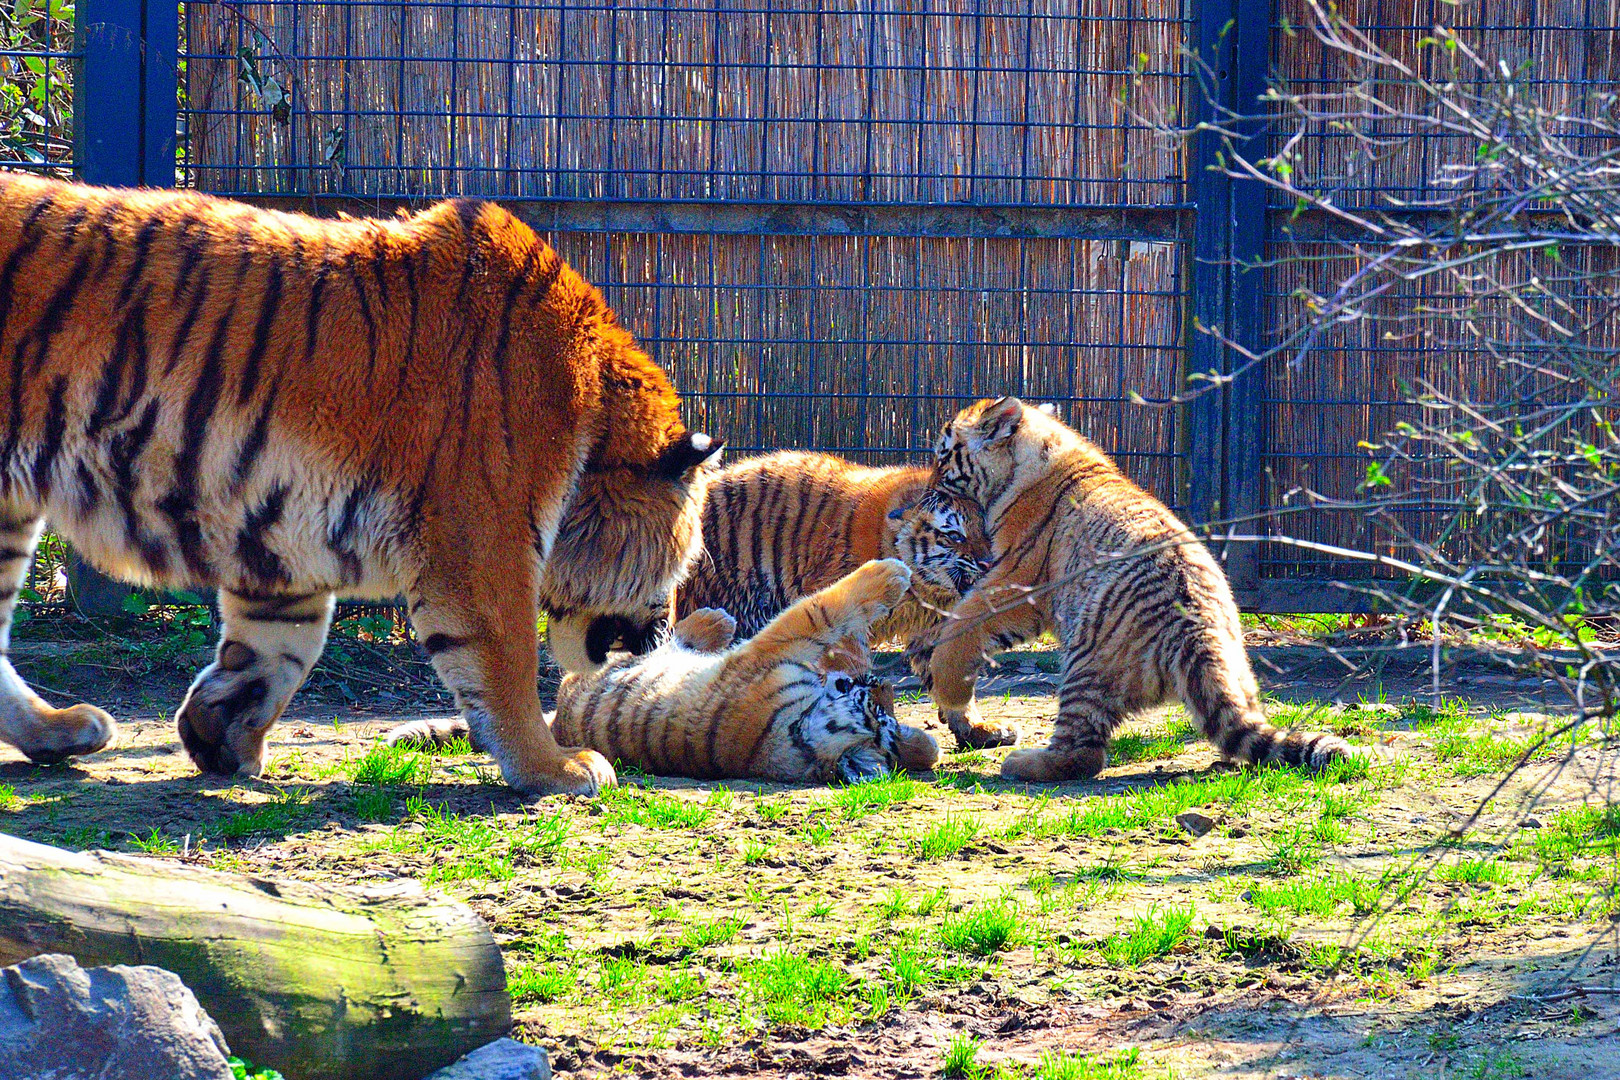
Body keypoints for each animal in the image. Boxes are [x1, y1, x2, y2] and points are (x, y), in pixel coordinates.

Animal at [0, 175, 722, 793]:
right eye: (683, 564)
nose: (664, 635)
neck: (591, 421)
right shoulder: (481, 544)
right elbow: (508, 662)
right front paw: (557, 768)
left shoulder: (277, 541)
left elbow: (277, 650)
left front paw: (219, 736)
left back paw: (58, 732)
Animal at [550, 563, 946, 780]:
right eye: (880, 709)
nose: (884, 684)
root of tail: (556, 719)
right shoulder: (771, 650)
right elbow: (824, 609)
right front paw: (892, 572)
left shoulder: (763, 654)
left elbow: (822, 610)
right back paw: (716, 620)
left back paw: (715, 622)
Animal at [913, 396, 1354, 777]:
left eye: (943, 454)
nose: (927, 487)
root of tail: (1197, 631)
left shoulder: (1013, 579)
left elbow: (961, 624)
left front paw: (948, 686)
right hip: (1237, 668)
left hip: (1085, 664)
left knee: (1084, 754)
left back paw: (1023, 763)